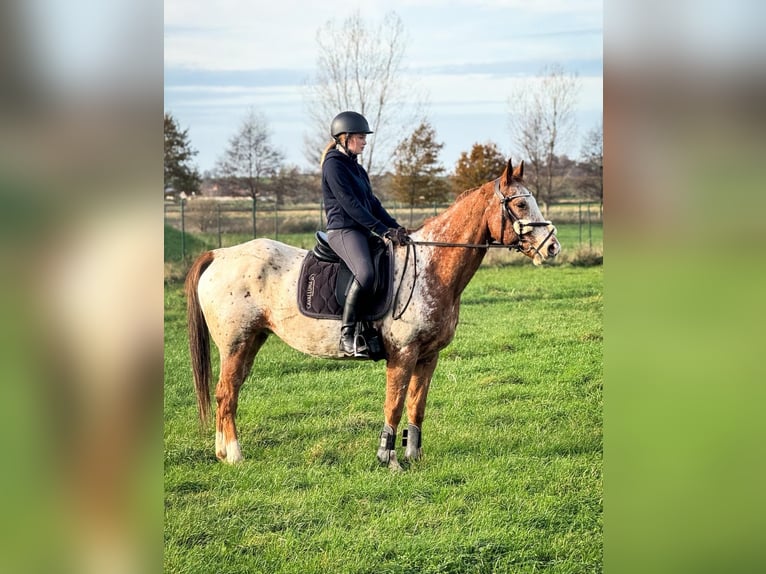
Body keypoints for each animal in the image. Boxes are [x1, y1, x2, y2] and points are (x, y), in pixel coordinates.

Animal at [185, 158, 560, 469]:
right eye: (520, 203)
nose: (552, 247)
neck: (430, 267)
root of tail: (219, 254)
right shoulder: (403, 354)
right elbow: (394, 403)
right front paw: (388, 459)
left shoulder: (428, 356)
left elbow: (417, 405)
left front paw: (414, 456)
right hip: (236, 343)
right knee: (226, 393)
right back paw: (235, 455)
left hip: (251, 342)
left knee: (228, 392)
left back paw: (221, 452)